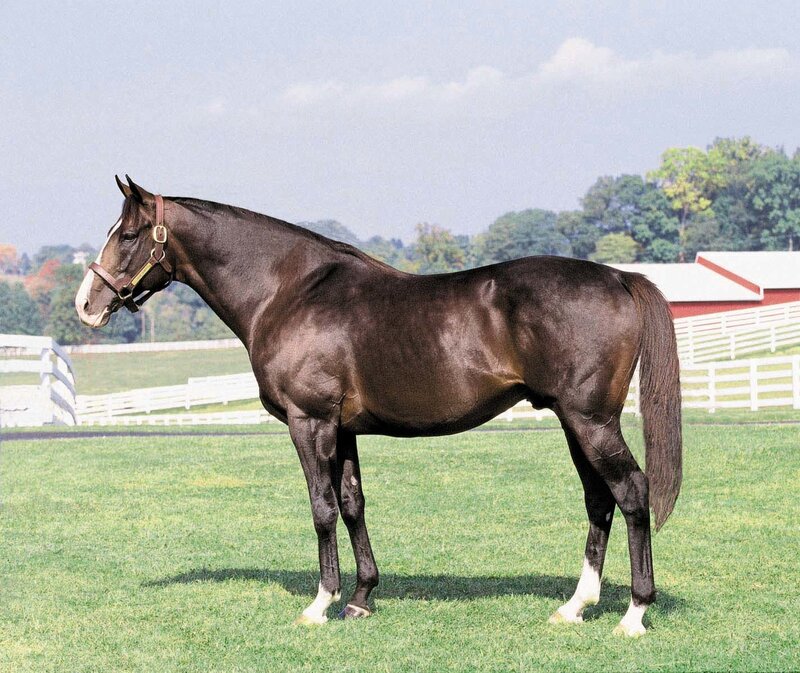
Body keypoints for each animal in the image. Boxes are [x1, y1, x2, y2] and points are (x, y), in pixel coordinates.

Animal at [75, 176, 682, 636]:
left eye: (128, 234)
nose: (86, 304)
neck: (289, 291)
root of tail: (618, 276)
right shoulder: (343, 430)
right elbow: (352, 505)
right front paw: (361, 597)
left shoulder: (310, 423)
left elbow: (321, 508)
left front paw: (320, 604)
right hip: (574, 422)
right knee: (600, 500)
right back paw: (575, 607)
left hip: (590, 421)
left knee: (632, 492)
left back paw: (634, 613)